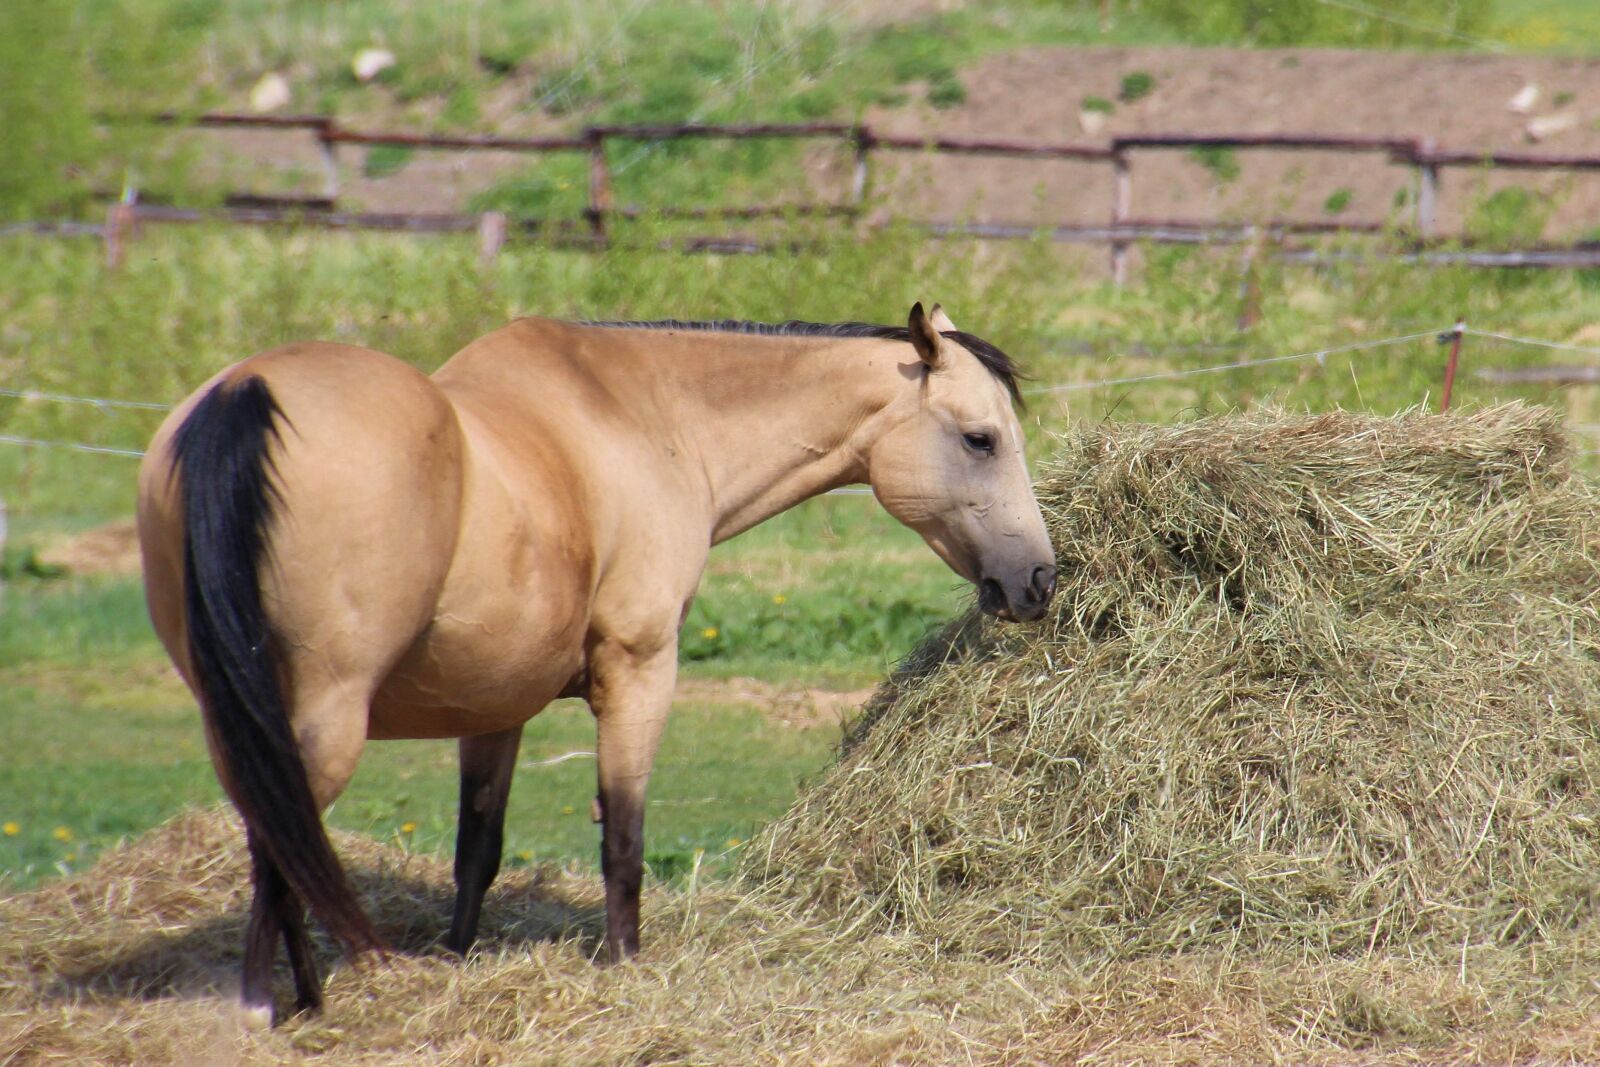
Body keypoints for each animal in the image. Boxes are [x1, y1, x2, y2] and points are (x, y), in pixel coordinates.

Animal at [135, 302, 1058, 1025]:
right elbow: (624, 832)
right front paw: (623, 963)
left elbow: (478, 848)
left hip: (246, 723)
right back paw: (262, 1006)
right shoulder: (639, 671)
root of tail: (243, 395)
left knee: (282, 842)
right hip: (325, 723)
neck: (644, 419)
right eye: (980, 439)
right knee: (279, 849)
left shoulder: (494, 708)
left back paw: (308, 994)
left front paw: (460, 961)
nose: (1040, 580)